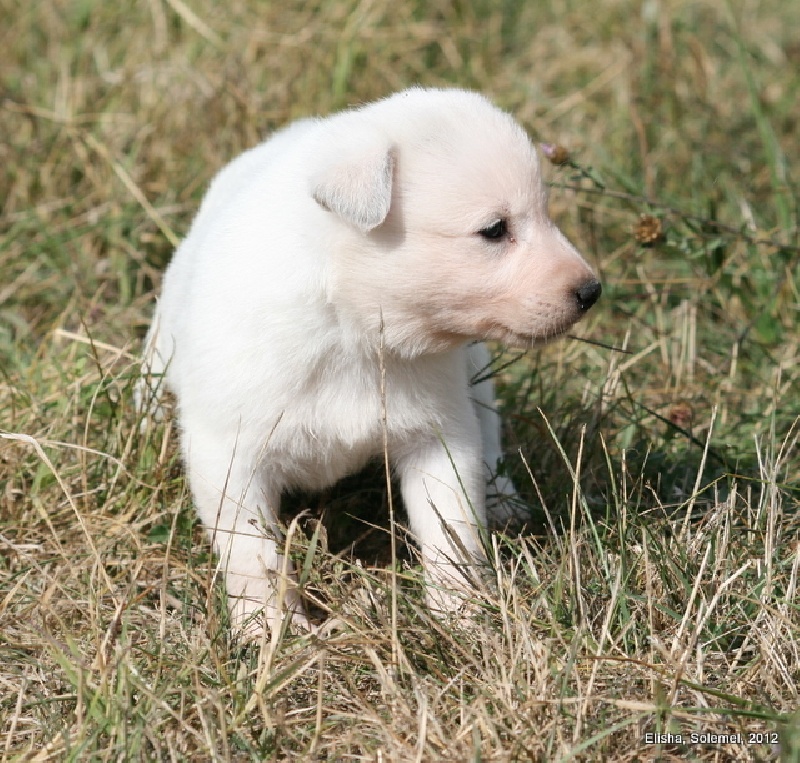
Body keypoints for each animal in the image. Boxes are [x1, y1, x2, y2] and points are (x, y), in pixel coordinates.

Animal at [137, 88, 601, 635]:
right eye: (494, 230)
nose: (591, 291)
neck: (352, 330)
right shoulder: (230, 453)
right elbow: (253, 555)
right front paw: (269, 631)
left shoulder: (439, 436)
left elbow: (453, 531)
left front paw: (463, 616)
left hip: (477, 377)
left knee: (489, 435)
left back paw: (503, 498)